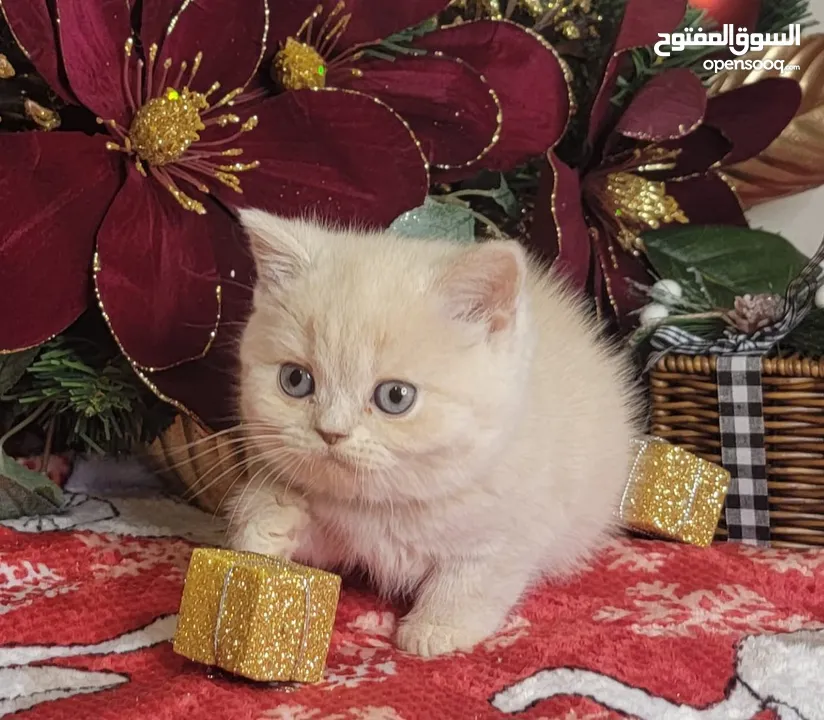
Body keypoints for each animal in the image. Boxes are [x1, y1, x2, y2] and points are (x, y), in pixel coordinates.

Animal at [227, 210, 644, 660]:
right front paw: (268, 522)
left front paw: (436, 629)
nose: (331, 432)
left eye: (395, 396)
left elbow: (473, 579)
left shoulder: (511, 529)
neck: (387, 505)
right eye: (295, 380)